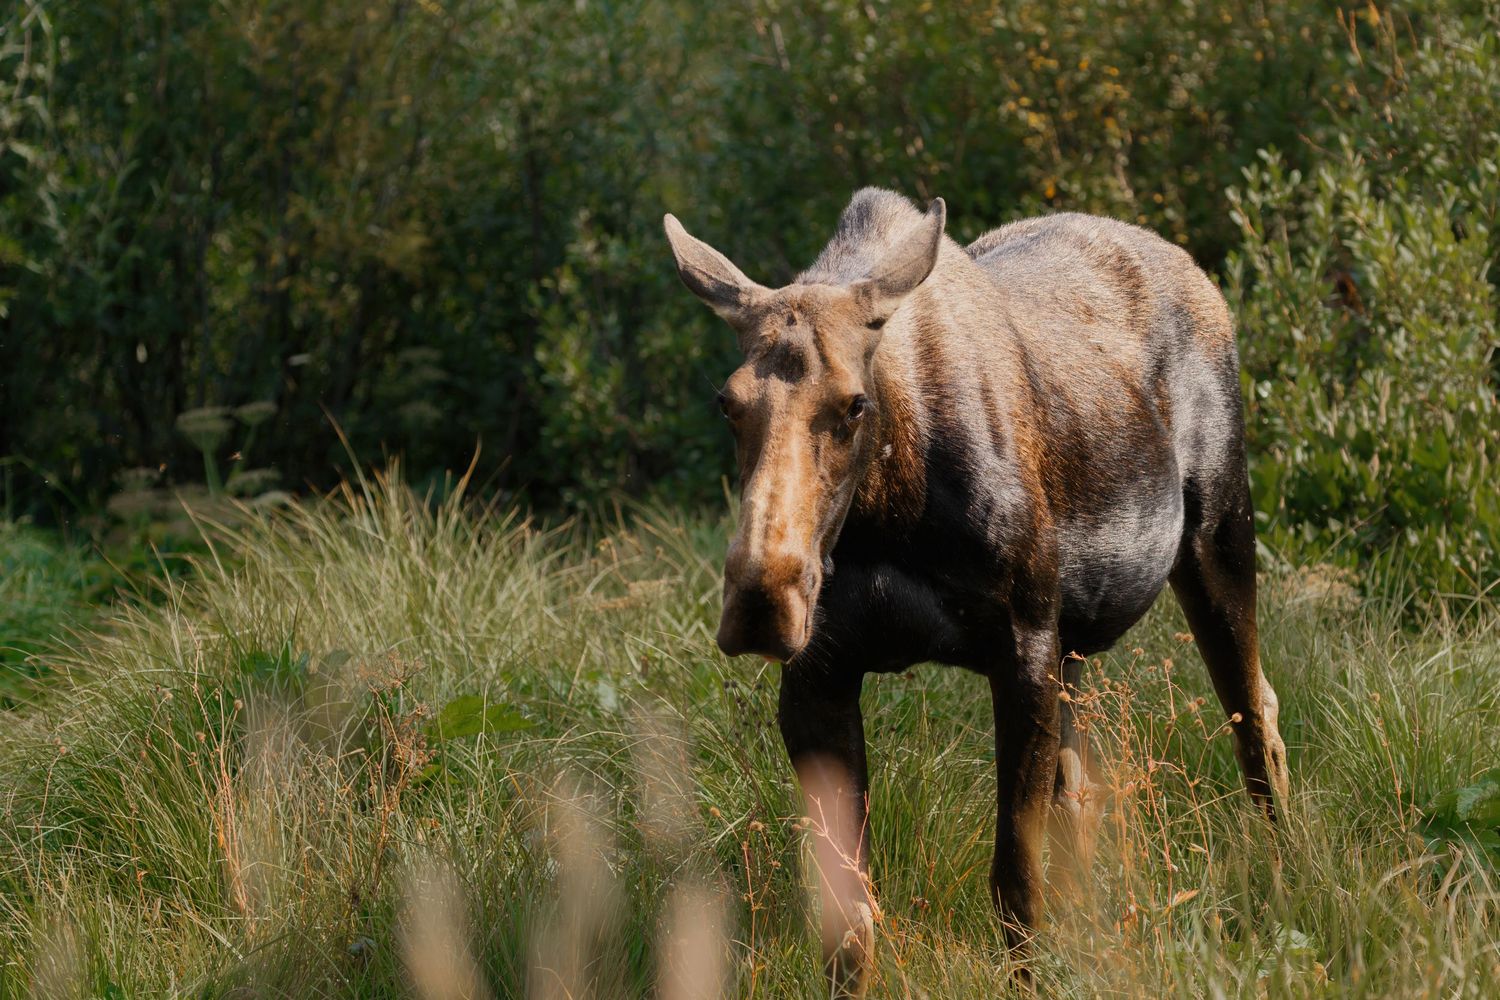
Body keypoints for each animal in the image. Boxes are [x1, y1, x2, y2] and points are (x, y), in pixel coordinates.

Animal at [663, 188, 1290, 997]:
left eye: (854, 404)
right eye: (727, 401)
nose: (764, 603)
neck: (886, 513)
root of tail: (1200, 277)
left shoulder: (1020, 650)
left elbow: (1015, 885)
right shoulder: (818, 680)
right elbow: (849, 923)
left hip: (1217, 534)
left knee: (1256, 717)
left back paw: (1291, 876)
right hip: (1073, 649)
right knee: (1080, 791)